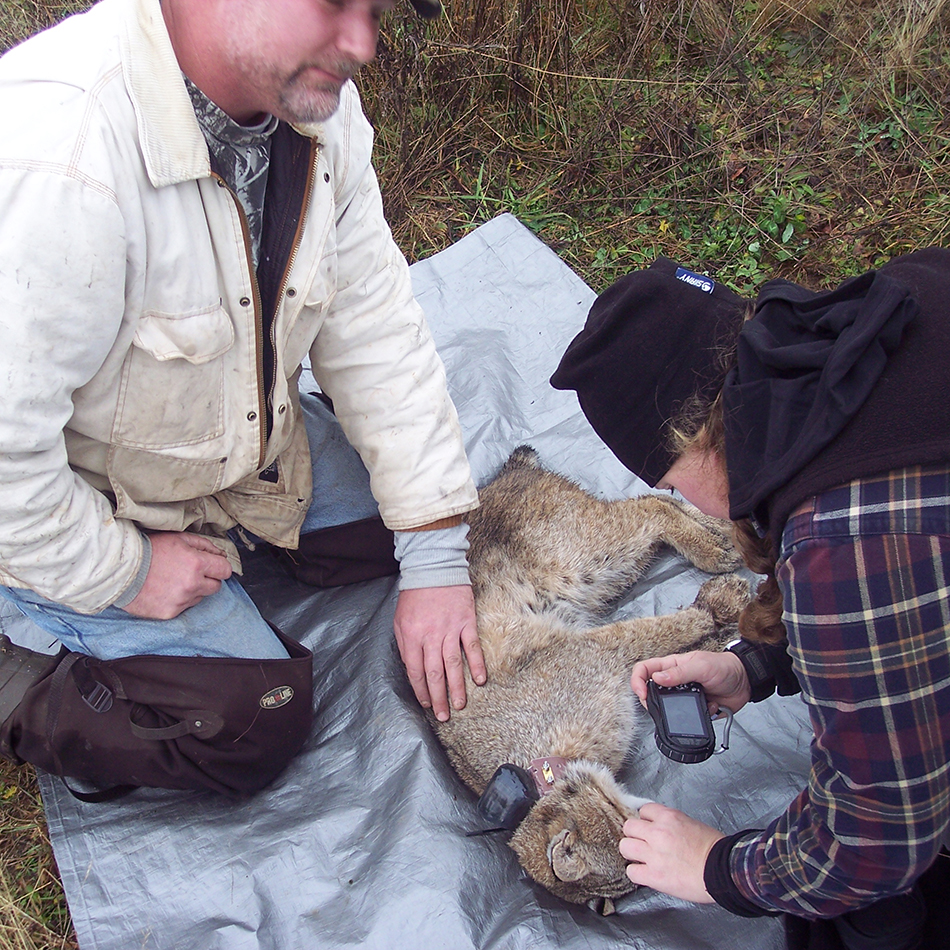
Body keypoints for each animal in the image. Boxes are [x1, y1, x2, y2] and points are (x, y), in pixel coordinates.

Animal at [432, 446, 750, 910]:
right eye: (629, 847)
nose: (647, 812)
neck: (543, 771)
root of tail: (501, 477)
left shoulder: (597, 650)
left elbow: (657, 632)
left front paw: (721, 607)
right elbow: (677, 651)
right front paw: (721, 640)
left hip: (581, 557)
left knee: (650, 506)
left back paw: (716, 547)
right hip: (603, 574)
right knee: (655, 503)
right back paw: (725, 532)